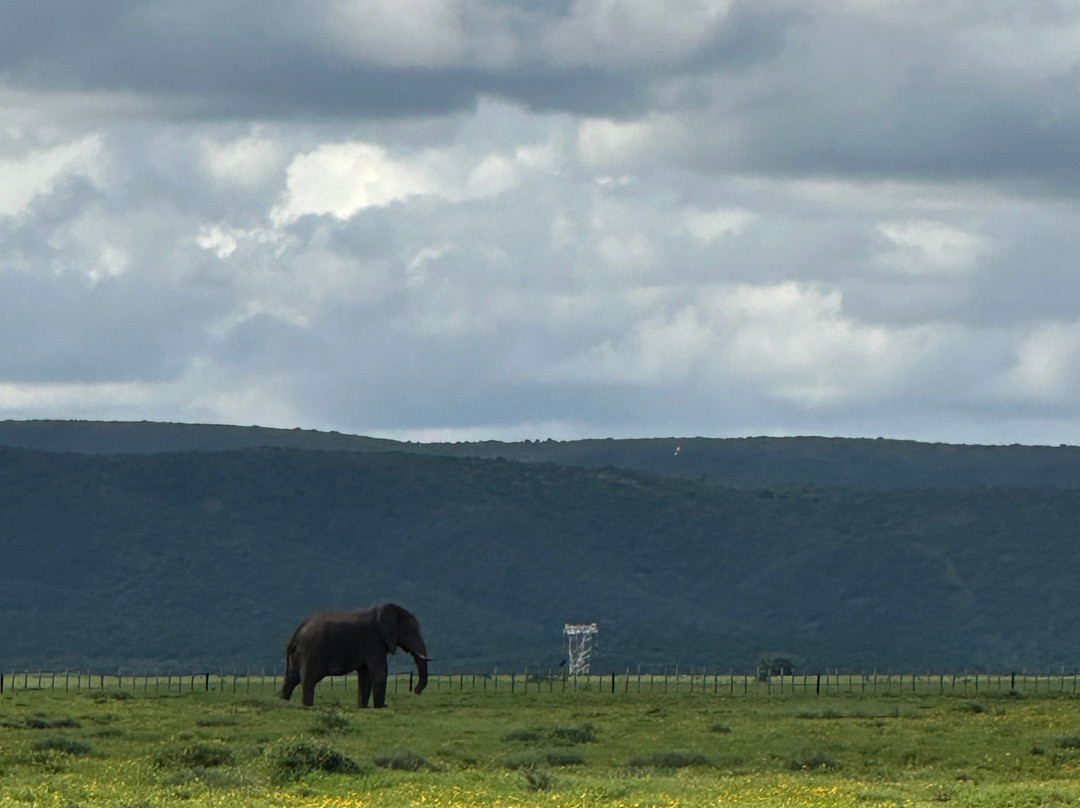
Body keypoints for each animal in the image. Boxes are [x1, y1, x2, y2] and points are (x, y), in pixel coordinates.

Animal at [280, 603, 429, 708]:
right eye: (410, 631)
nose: (415, 691)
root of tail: (298, 630)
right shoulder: (374, 642)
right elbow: (380, 672)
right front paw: (381, 707)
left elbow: (365, 675)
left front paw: (363, 707)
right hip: (311, 652)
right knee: (309, 680)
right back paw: (308, 706)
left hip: (298, 653)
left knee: (292, 677)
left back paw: (284, 701)